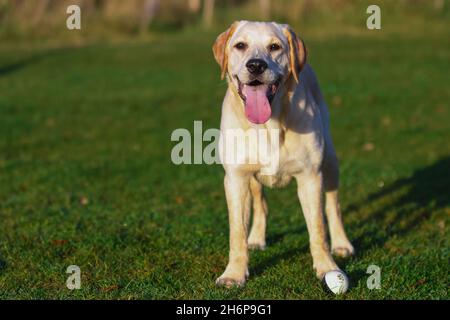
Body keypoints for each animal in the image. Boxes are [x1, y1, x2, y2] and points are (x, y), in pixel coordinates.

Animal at [213, 21, 354, 288]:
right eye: (240, 45)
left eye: (274, 47)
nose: (256, 65)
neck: (268, 126)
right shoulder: (235, 178)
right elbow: (237, 232)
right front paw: (234, 274)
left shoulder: (310, 177)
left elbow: (318, 228)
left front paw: (326, 267)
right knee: (260, 203)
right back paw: (256, 237)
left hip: (330, 160)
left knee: (334, 206)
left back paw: (342, 244)